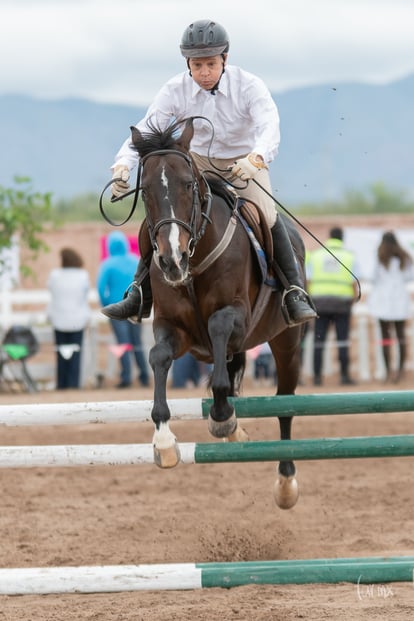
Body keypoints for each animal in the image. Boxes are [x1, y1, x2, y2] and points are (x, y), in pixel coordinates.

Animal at [131, 118, 306, 506]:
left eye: (187, 184)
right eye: (145, 191)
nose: (171, 260)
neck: (194, 265)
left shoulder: (235, 316)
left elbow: (219, 332)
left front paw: (223, 418)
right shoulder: (172, 327)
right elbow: (158, 357)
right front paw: (164, 442)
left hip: (286, 342)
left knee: (285, 403)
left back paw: (286, 483)